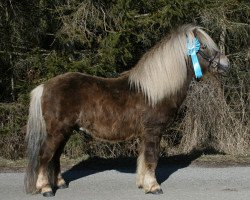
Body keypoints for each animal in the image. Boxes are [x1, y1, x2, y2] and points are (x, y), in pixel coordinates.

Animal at [24, 24, 229, 196]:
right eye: (203, 46)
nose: (226, 64)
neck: (154, 92)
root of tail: (45, 86)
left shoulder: (145, 134)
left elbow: (143, 159)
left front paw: (143, 184)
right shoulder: (153, 131)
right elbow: (152, 158)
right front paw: (154, 186)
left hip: (65, 132)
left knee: (55, 157)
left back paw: (60, 183)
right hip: (57, 131)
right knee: (45, 156)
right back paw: (45, 188)